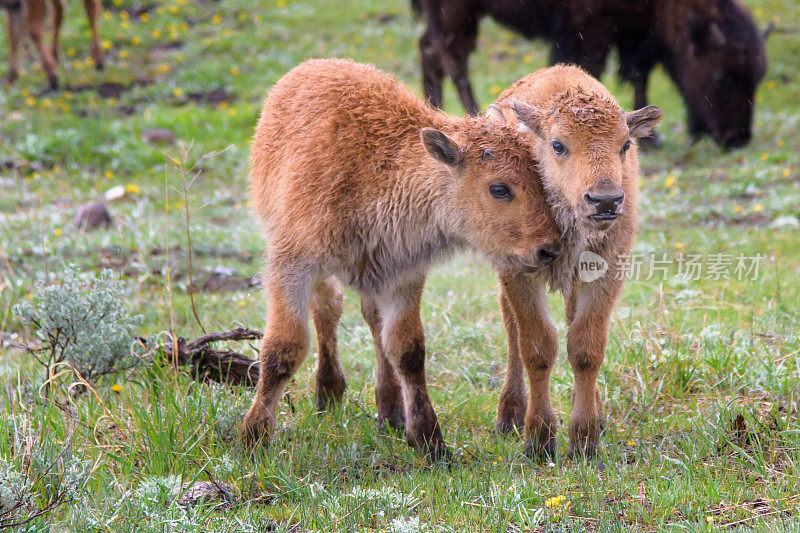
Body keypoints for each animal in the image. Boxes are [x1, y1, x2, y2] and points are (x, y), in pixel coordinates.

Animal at [244, 57, 564, 458]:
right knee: (328, 310)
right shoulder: (292, 266)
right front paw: (253, 437)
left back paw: (389, 412)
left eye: (541, 180)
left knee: (371, 323)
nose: (549, 248)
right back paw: (329, 394)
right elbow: (283, 349)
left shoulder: (402, 276)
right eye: (499, 189)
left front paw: (429, 440)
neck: (376, 170)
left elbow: (407, 350)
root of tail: (312, 65)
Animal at [412, 0, 768, 148]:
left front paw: (652, 138)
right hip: (457, 13)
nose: (736, 139)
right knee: (452, 57)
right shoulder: (591, 28)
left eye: (756, 79)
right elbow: (588, 67)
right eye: (720, 77)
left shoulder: (637, 34)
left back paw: (434, 110)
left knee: (430, 50)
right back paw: (471, 115)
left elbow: (640, 74)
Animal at [488, 65, 664, 458]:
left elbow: (585, 348)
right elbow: (537, 348)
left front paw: (585, 441)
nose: (605, 200)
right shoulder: (520, 274)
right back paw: (509, 417)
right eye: (558, 145)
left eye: (625, 145)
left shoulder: (606, 272)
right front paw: (539, 441)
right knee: (510, 329)